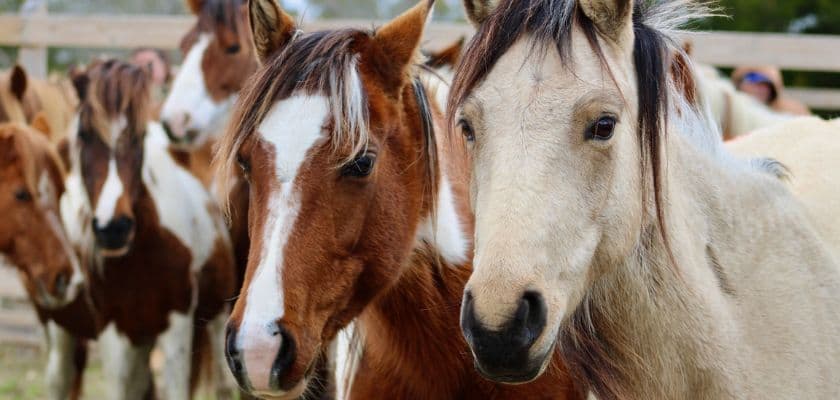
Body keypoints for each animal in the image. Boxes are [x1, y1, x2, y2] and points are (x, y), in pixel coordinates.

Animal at [61, 59, 237, 399]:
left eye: (138, 136)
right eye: (85, 134)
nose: (113, 227)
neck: (140, 261)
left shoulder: (177, 326)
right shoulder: (115, 336)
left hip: (216, 318)